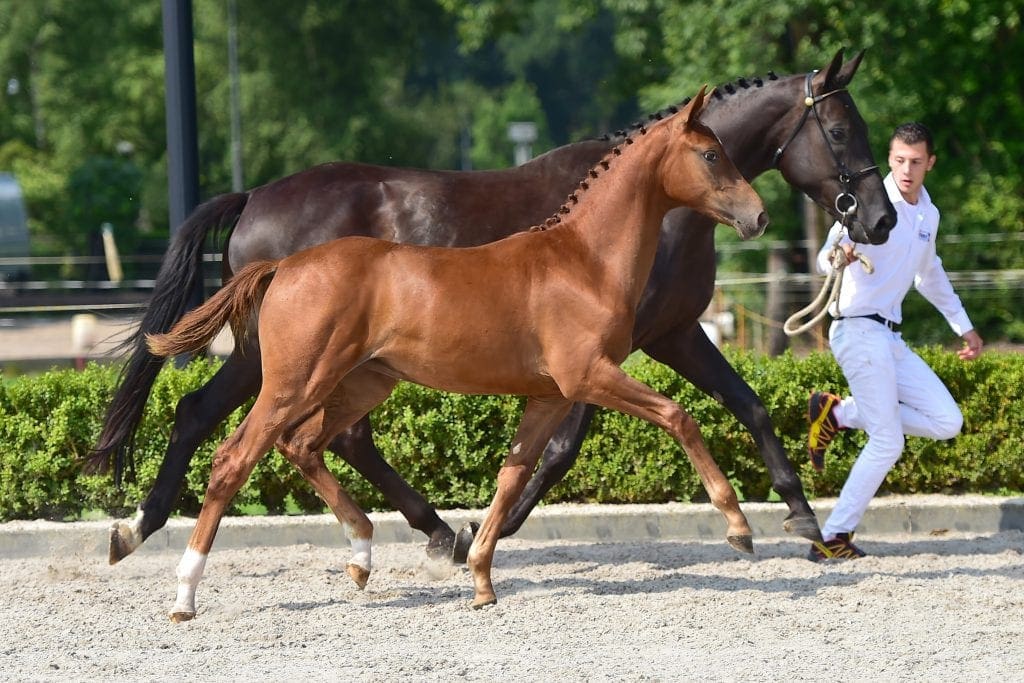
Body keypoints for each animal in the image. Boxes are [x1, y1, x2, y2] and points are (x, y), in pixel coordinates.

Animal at [98, 49, 895, 565]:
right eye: (841, 129)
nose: (882, 219)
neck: (654, 210)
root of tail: (255, 197)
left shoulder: (671, 333)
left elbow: (747, 403)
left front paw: (803, 517)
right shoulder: (618, 347)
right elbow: (565, 446)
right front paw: (500, 522)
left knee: (266, 425)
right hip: (282, 355)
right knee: (223, 417)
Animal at [145, 86, 767, 619]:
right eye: (711, 154)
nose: (758, 216)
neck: (583, 260)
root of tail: (283, 265)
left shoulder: (550, 395)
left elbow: (513, 474)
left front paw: (482, 580)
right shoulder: (590, 376)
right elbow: (678, 416)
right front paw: (738, 528)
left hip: (364, 382)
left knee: (304, 445)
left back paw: (362, 556)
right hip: (292, 382)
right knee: (234, 458)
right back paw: (183, 594)